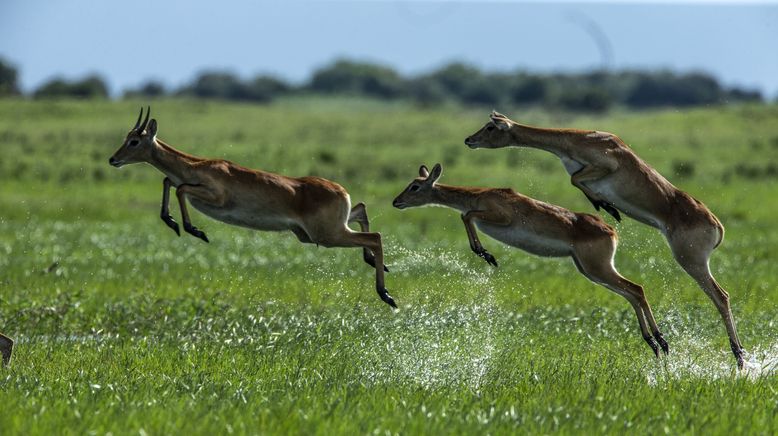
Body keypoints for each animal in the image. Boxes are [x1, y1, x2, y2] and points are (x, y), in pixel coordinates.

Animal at [109, 107, 394, 308]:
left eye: (134, 141)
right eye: (126, 137)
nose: (113, 159)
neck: (195, 166)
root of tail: (341, 190)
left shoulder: (215, 196)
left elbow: (179, 188)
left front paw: (194, 230)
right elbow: (169, 181)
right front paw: (171, 221)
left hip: (327, 235)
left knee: (375, 237)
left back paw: (386, 295)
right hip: (318, 232)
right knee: (362, 210)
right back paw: (377, 269)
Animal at [394, 162, 668, 356]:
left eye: (415, 186)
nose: (397, 201)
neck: (480, 194)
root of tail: (611, 230)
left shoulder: (500, 216)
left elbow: (466, 215)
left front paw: (486, 254)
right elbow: (466, 215)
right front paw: (485, 254)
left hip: (597, 268)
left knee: (637, 289)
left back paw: (660, 341)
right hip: (589, 270)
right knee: (631, 293)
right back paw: (654, 343)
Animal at [464, 110, 744, 368]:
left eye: (491, 127)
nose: (469, 139)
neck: (580, 139)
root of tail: (717, 225)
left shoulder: (605, 166)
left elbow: (574, 179)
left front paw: (607, 206)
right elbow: (576, 181)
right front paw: (605, 205)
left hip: (690, 261)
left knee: (721, 296)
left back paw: (737, 355)